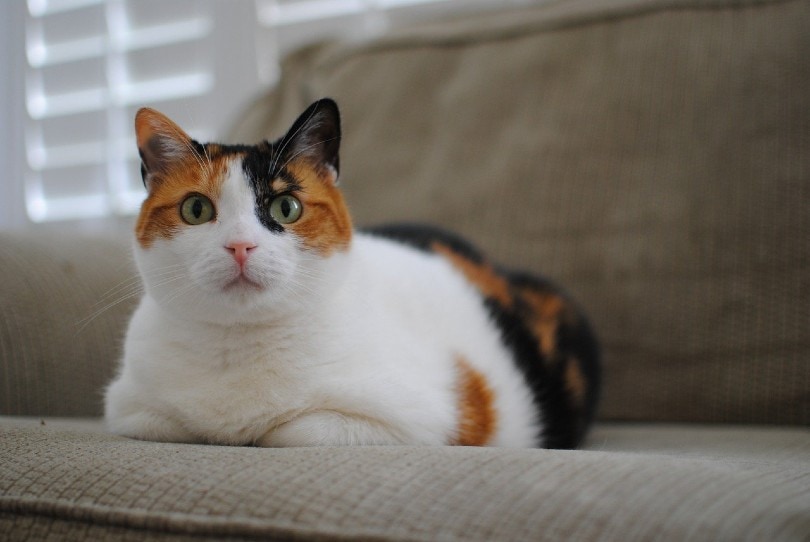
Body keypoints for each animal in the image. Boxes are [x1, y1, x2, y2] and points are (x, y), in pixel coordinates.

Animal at [102, 98, 600, 450]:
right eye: (196, 209)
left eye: (287, 207)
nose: (240, 245)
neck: (239, 345)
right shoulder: (128, 407)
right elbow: (167, 422)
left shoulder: (424, 417)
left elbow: (289, 431)